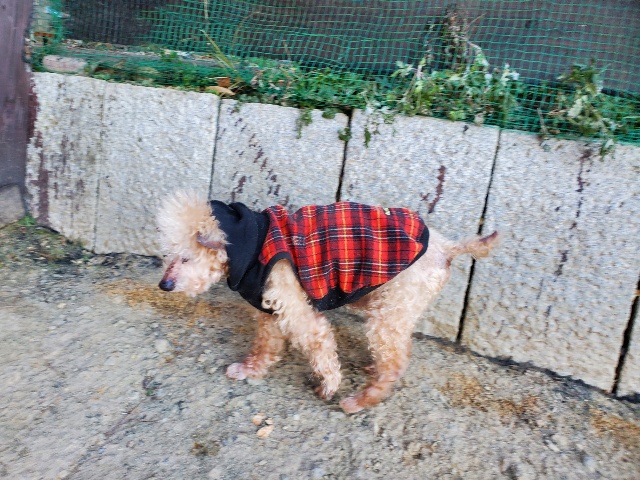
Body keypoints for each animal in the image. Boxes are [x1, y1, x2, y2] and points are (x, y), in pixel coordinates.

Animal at [157, 192, 499, 413]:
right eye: (168, 255)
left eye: (185, 258)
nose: (164, 285)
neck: (250, 246)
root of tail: (446, 248)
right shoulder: (270, 310)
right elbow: (265, 346)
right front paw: (249, 369)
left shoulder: (297, 309)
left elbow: (319, 345)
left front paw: (330, 385)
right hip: (391, 307)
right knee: (395, 354)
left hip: (388, 313)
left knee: (394, 364)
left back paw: (359, 401)